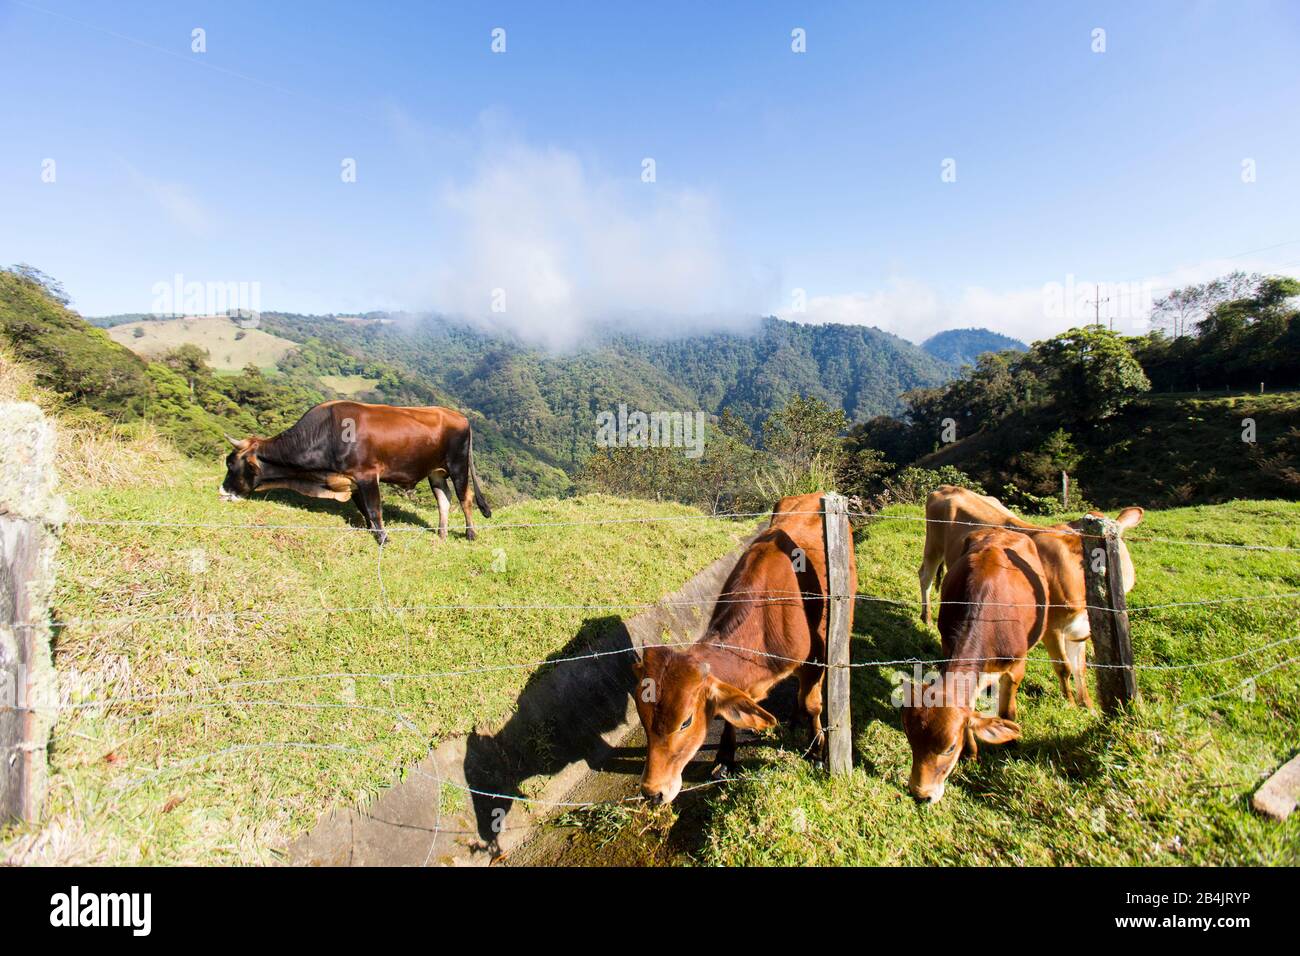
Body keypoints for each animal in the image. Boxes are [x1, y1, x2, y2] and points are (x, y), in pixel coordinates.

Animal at [220, 398, 488, 546]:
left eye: (232, 465)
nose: (221, 492)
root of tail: (459, 416)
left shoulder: (367, 475)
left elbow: (374, 508)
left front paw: (383, 539)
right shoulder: (354, 480)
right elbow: (364, 509)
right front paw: (372, 531)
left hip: (458, 465)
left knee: (465, 498)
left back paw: (470, 534)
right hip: (435, 471)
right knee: (444, 500)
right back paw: (441, 535)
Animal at [631, 489, 852, 806]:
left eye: (686, 722)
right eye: (643, 717)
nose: (652, 792)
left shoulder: (815, 660)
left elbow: (813, 704)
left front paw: (817, 751)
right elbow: (732, 713)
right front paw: (725, 758)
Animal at [899, 528, 1050, 806]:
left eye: (949, 747)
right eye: (911, 740)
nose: (920, 794)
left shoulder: (1016, 666)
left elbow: (1007, 711)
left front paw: (1011, 743)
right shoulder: (948, 648)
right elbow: (968, 708)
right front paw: (971, 753)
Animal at [920, 486, 1144, 712]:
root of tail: (949, 488)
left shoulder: (1079, 630)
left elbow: (1080, 669)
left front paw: (1088, 706)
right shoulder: (1052, 627)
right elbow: (1064, 668)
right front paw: (1071, 704)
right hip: (933, 547)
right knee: (925, 577)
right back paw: (926, 618)